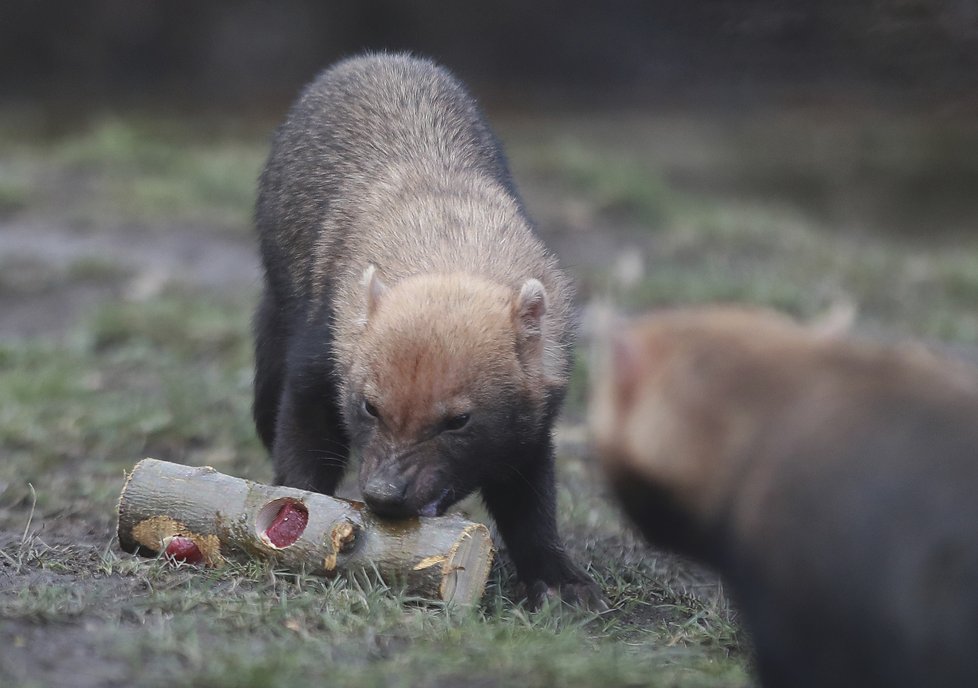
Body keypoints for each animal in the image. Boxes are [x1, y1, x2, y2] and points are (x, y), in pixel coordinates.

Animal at [252, 55, 604, 608]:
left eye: (458, 420)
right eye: (369, 406)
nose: (384, 495)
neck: (445, 237)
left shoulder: (534, 428)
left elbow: (531, 506)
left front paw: (560, 580)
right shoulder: (314, 366)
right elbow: (301, 454)